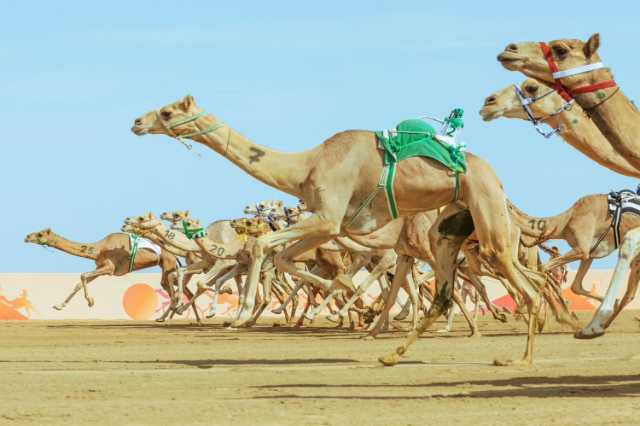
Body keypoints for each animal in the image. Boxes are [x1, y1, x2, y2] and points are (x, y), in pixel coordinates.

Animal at [131, 95, 552, 366]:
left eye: (167, 111)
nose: (137, 122)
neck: (306, 166)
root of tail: (494, 175)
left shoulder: (328, 217)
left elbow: (265, 244)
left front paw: (244, 313)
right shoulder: (328, 224)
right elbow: (284, 259)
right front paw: (348, 299)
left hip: (487, 211)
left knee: (521, 281)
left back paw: (522, 357)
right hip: (451, 222)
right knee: (445, 290)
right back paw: (391, 354)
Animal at [498, 33, 640, 338]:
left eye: (560, 49)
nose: (508, 50)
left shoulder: (585, 247)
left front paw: (589, 323)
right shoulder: (588, 250)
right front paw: (590, 323)